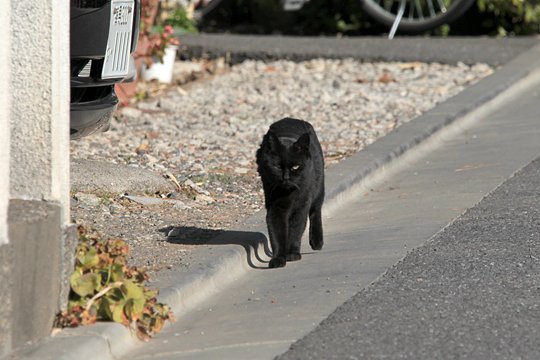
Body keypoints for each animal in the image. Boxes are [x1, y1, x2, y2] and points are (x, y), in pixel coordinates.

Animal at [255, 118, 322, 268]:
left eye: (295, 167)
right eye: (278, 166)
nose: (286, 178)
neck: (289, 193)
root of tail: (290, 119)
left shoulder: (301, 206)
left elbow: (296, 229)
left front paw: (292, 254)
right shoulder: (275, 207)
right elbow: (276, 233)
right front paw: (278, 258)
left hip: (319, 187)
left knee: (316, 210)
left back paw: (317, 241)